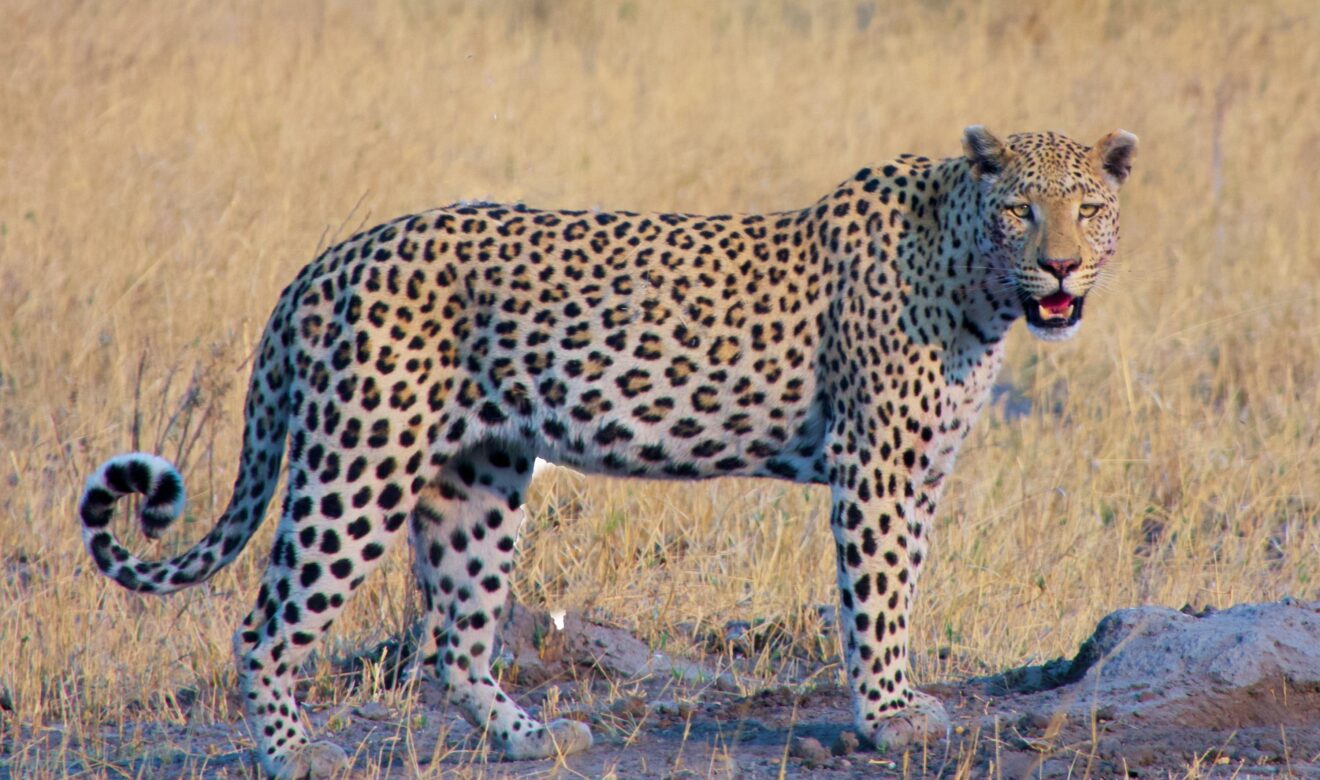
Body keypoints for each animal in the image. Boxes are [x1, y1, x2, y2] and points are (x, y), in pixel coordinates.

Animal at [77, 126, 1137, 778]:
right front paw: (889, 718)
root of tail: (326, 261)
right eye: (1020, 210)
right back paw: (294, 753)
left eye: (1088, 208)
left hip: (478, 480)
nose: (1061, 267)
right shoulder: (875, 472)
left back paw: (532, 738)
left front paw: (898, 703)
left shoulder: (917, 473)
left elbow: (902, 591)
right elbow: (875, 599)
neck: (977, 285)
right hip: (359, 462)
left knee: (455, 642)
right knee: (266, 626)